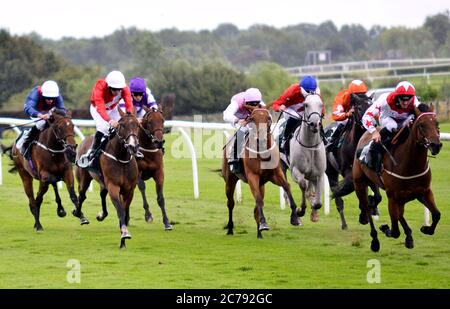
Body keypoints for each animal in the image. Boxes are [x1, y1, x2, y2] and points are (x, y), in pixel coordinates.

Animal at [74, 109, 141, 247]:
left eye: (137, 125)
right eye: (122, 125)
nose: (133, 146)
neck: (121, 158)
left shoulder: (129, 190)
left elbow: (125, 213)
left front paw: (123, 242)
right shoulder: (113, 186)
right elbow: (120, 211)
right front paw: (125, 233)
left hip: (102, 182)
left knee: (102, 194)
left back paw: (101, 215)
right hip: (84, 179)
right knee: (82, 196)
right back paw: (80, 216)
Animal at [221, 106, 300, 238]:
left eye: (268, 118)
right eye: (252, 119)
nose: (261, 139)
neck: (263, 153)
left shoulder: (276, 175)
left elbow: (286, 186)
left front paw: (295, 216)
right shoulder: (252, 177)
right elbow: (258, 199)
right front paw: (263, 224)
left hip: (261, 185)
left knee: (256, 207)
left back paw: (259, 234)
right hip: (230, 180)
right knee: (230, 203)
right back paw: (230, 229)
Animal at [324, 94, 380, 229]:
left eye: (371, 106)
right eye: (359, 107)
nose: (373, 123)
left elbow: (377, 196)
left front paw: (370, 210)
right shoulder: (348, 172)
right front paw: (365, 213)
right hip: (330, 172)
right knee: (338, 197)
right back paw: (344, 224)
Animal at [354, 103, 442, 250]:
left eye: (437, 123)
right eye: (421, 125)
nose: (436, 145)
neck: (410, 165)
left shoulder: (424, 192)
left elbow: (436, 214)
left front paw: (426, 229)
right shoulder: (393, 196)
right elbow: (395, 231)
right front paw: (384, 228)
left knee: (397, 212)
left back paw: (408, 237)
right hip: (360, 183)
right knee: (366, 206)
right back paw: (375, 240)